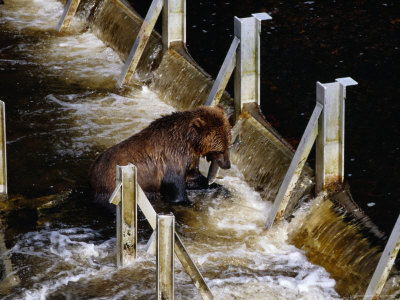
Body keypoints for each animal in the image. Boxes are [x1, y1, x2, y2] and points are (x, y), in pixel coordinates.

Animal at [87, 106, 231, 210]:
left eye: (228, 145)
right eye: (220, 149)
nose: (228, 165)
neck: (189, 142)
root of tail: (92, 173)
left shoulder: (190, 159)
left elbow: (194, 178)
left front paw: (224, 190)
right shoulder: (172, 159)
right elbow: (176, 188)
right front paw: (191, 203)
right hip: (113, 188)